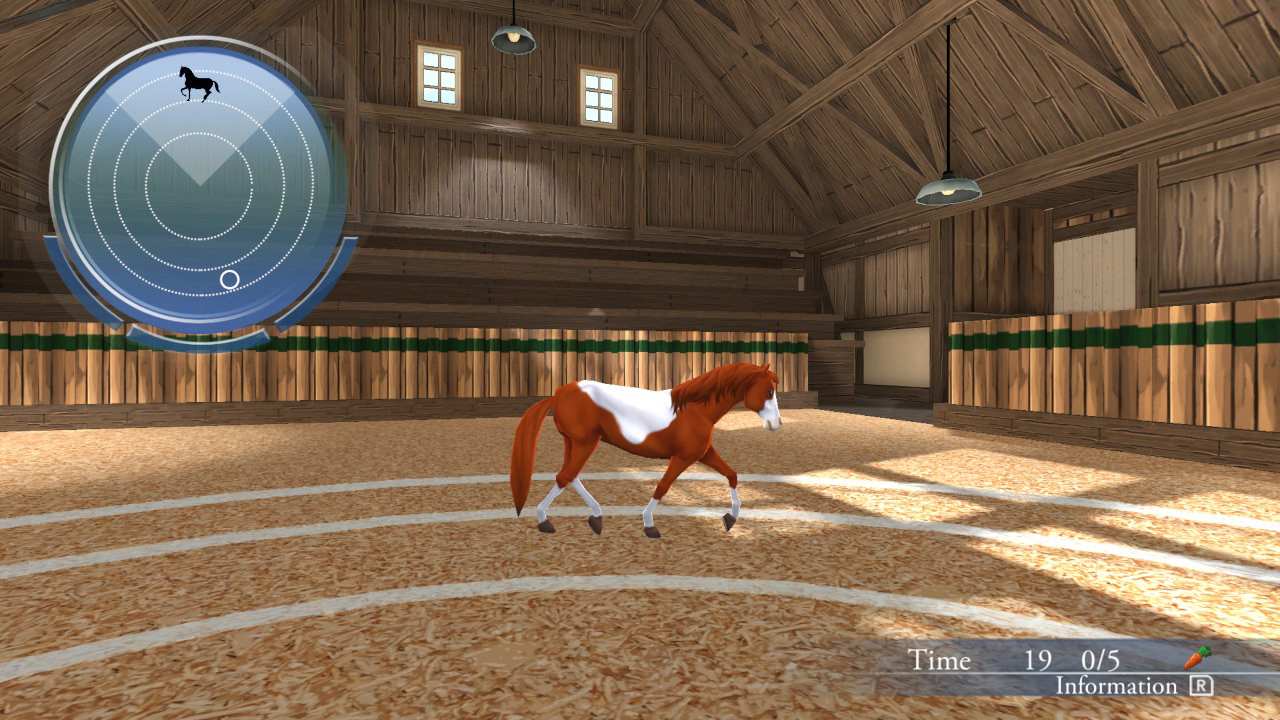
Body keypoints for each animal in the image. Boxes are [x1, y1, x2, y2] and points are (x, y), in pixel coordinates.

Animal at [509, 362, 781, 539]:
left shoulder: (703, 453)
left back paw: (596, 519)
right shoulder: (683, 457)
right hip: (585, 443)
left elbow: (732, 475)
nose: (776, 424)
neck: (695, 410)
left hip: (575, 442)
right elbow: (663, 486)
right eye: (769, 391)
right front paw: (649, 525)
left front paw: (730, 519)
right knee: (565, 476)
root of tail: (558, 394)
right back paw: (545, 521)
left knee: (570, 476)